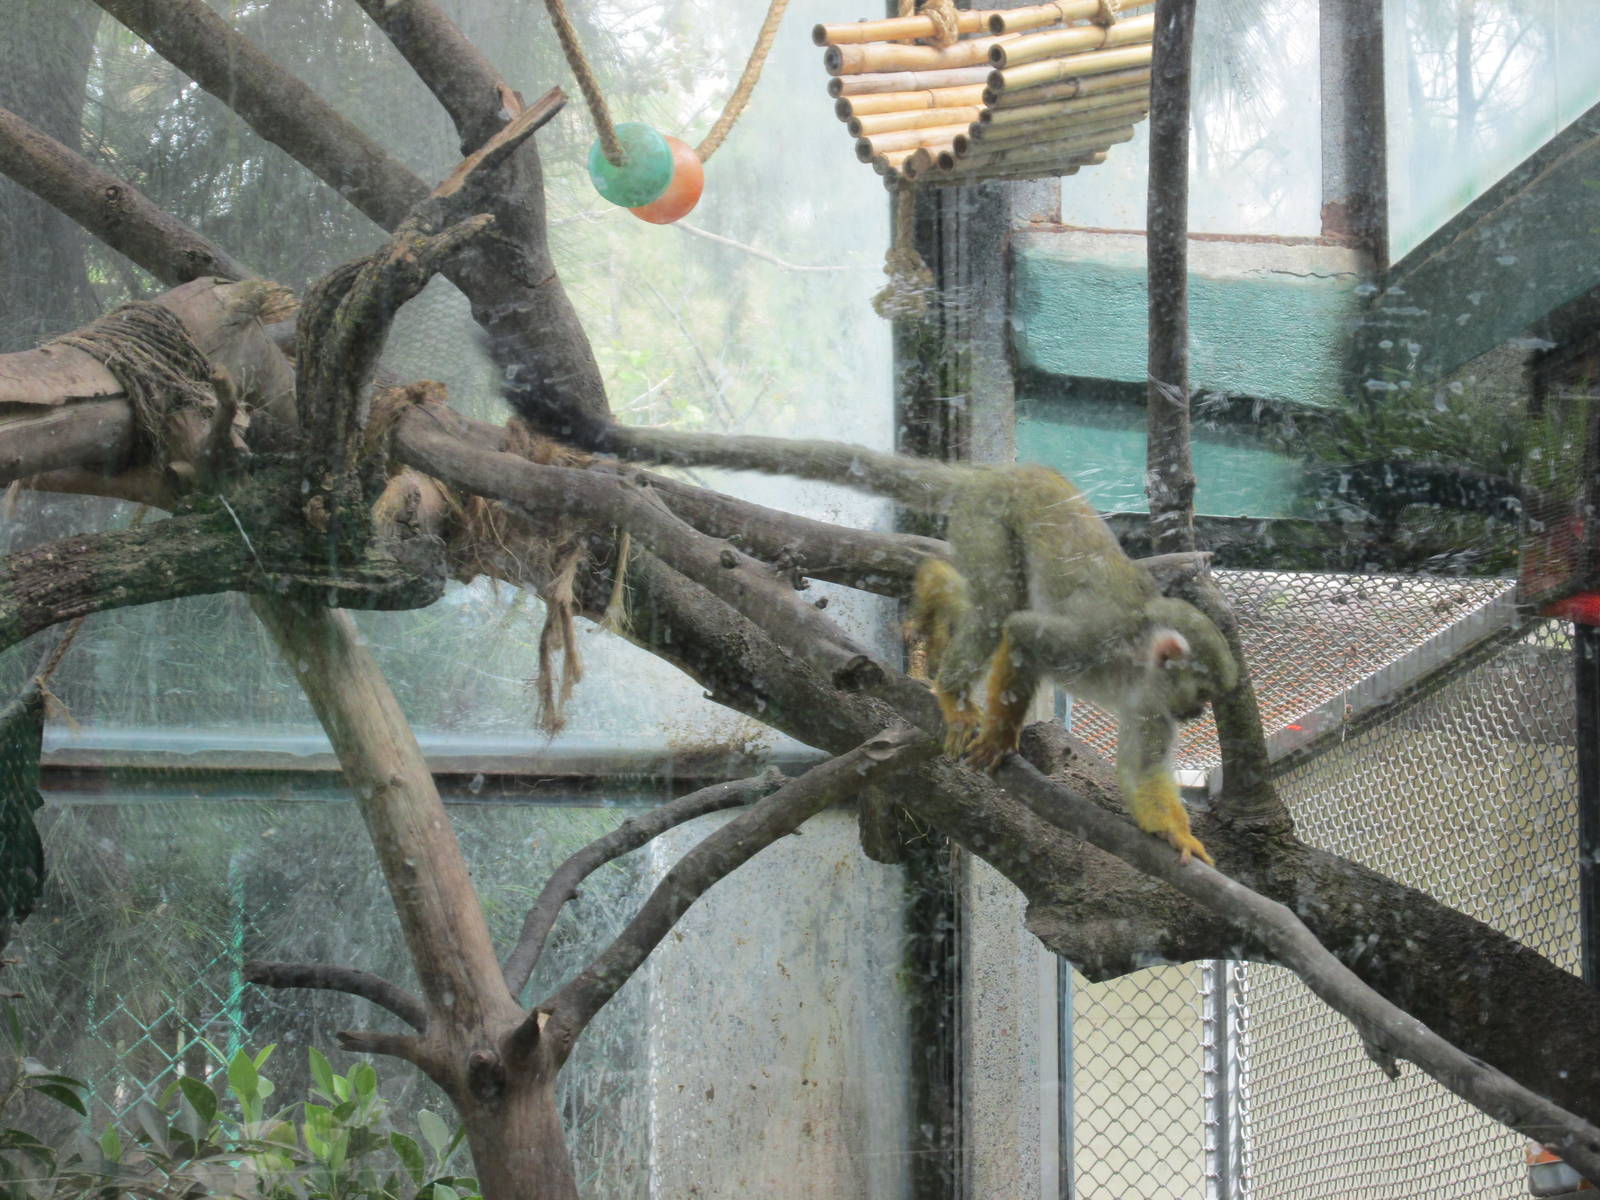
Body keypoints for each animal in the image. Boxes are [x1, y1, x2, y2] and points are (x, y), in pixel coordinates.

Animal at [493, 369, 1236, 863]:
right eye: (1200, 691)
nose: (1198, 713)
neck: (1138, 663)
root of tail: (1002, 473)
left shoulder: (1148, 700)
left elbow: (1141, 766)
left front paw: (1173, 833)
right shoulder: (1097, 641)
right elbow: (1025, 636)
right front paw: (999, 734)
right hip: (991, 517)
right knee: (1000, 608)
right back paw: (952, 692)